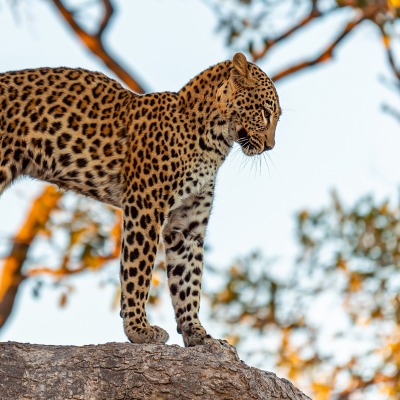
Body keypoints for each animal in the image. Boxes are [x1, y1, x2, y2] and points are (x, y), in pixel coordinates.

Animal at [0, 53, 280, 346]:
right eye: (265, 112)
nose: (270, 146)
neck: (214, 142)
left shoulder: (187, 224)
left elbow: (188, 278)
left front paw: (197, 332)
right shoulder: (145, 204)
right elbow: (138, 269)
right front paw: (139, 329)